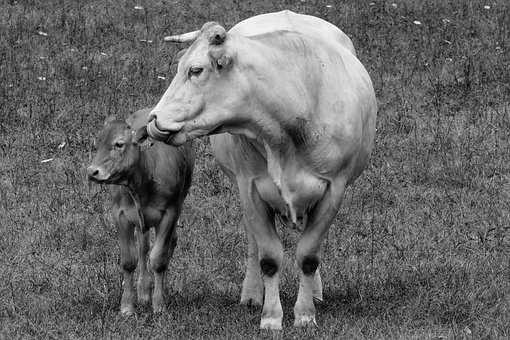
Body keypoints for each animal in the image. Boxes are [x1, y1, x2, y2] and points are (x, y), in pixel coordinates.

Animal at [145, 10, 376, 330]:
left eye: (196, 70)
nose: (153, 119)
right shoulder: (251, 188)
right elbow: (269, 257)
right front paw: (271, 316)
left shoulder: (334, 189)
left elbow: (308, 255)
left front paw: (305, 314)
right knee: (255, 245)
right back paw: (253, 294)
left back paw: (315, 292)